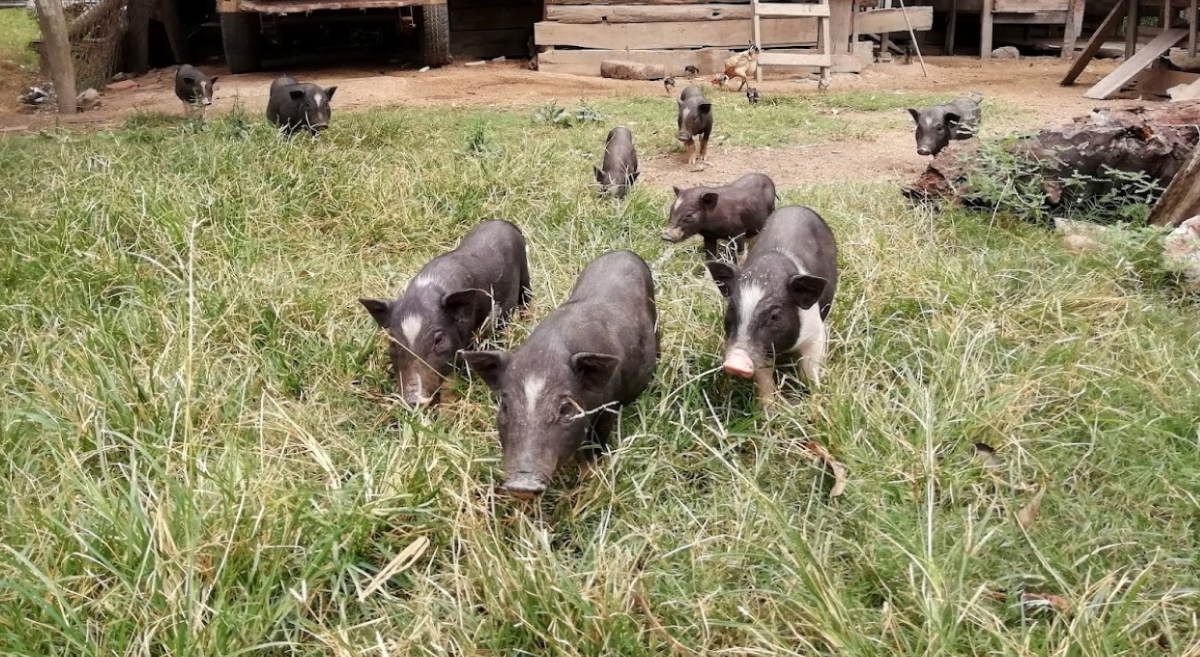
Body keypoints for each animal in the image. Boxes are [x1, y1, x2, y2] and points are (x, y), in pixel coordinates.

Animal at [460, 250, 667, 498]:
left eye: (565, 408)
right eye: (505, 406)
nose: (523, 485)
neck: (548, 350)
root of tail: (624, 252)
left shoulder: (609, 407)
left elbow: (595, 449)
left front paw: (588, 482)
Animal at [700, 205, 835, 410]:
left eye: (775, 316)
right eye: (731, 309)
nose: (735, 362)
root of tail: (796, 206)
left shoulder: (816, 334)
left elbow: (809, 371)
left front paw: (814, 401)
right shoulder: (762, 347)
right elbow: (764, 380)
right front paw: (767, 411)